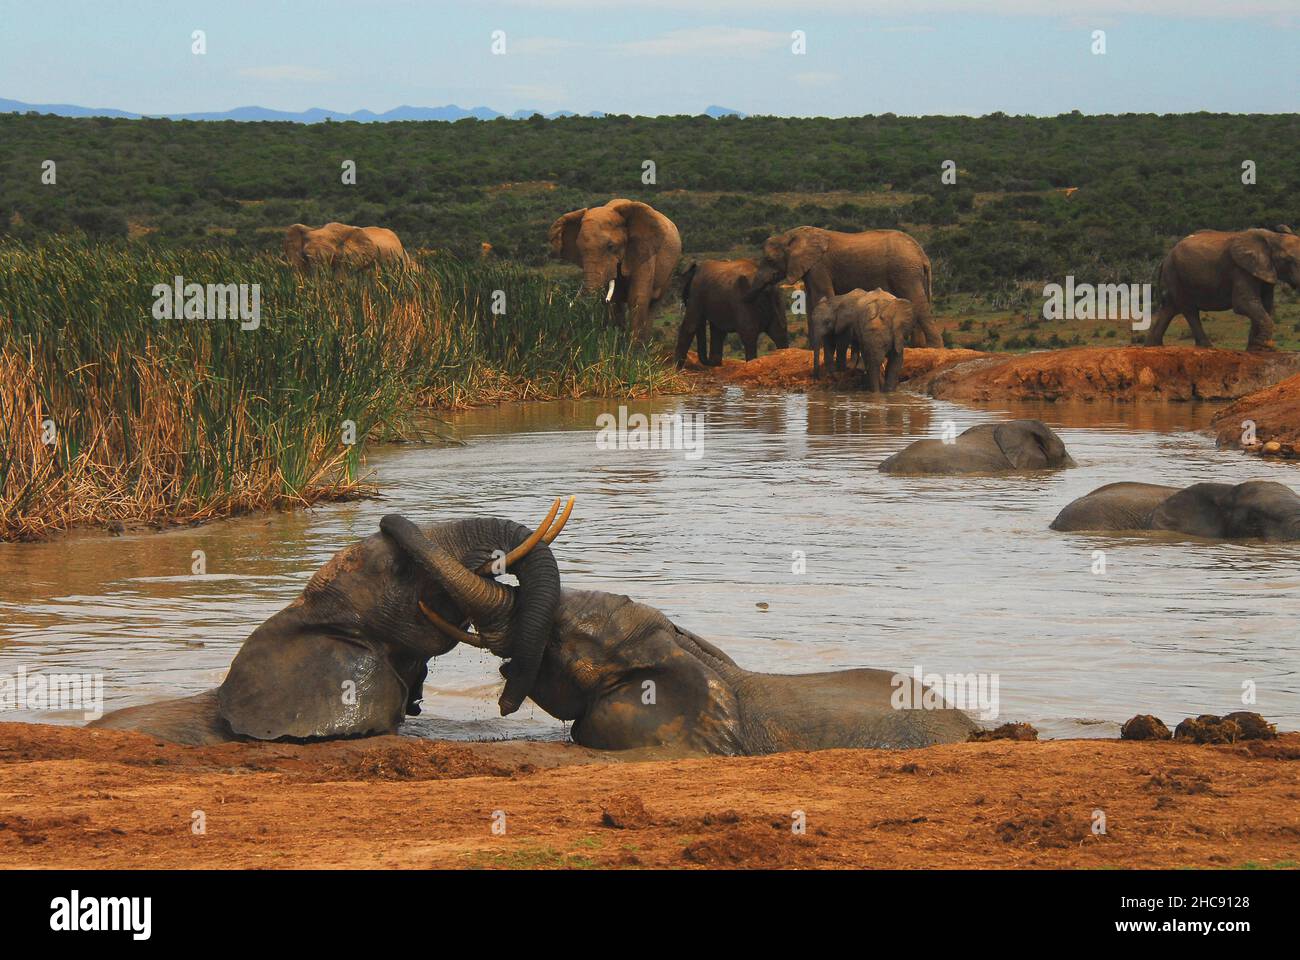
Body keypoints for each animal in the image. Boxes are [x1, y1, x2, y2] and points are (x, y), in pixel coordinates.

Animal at [549, 199, 682, 343]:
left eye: (610, 246)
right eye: (579, 249)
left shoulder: (644, 251)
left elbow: (638, 299)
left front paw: (632, 348)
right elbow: (614, 303)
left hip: (670, 271)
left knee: (653, 305)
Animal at [746, 226, 940, 348]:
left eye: (770, 260)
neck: (791, 236)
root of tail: (922, 256)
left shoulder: (819, 265)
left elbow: (821, 297)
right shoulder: (810, 268)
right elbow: (810, 303)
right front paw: (815, 350)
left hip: (905, 272)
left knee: (918, 302)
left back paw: (933, 348)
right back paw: (918, 348)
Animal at [1144, 226, 1300, 352]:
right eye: (1288, 260)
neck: (1273, 237)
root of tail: (1164, 259)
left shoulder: (1265, 272)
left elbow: (1265, 306)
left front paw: (1255, 349)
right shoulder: (1241, 269)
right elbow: (1243, 304)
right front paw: (1264, 347)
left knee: (1169, 309)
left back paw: (1153, 346)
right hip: (1175, 275)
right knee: (1189, 310)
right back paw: (1207, 347)